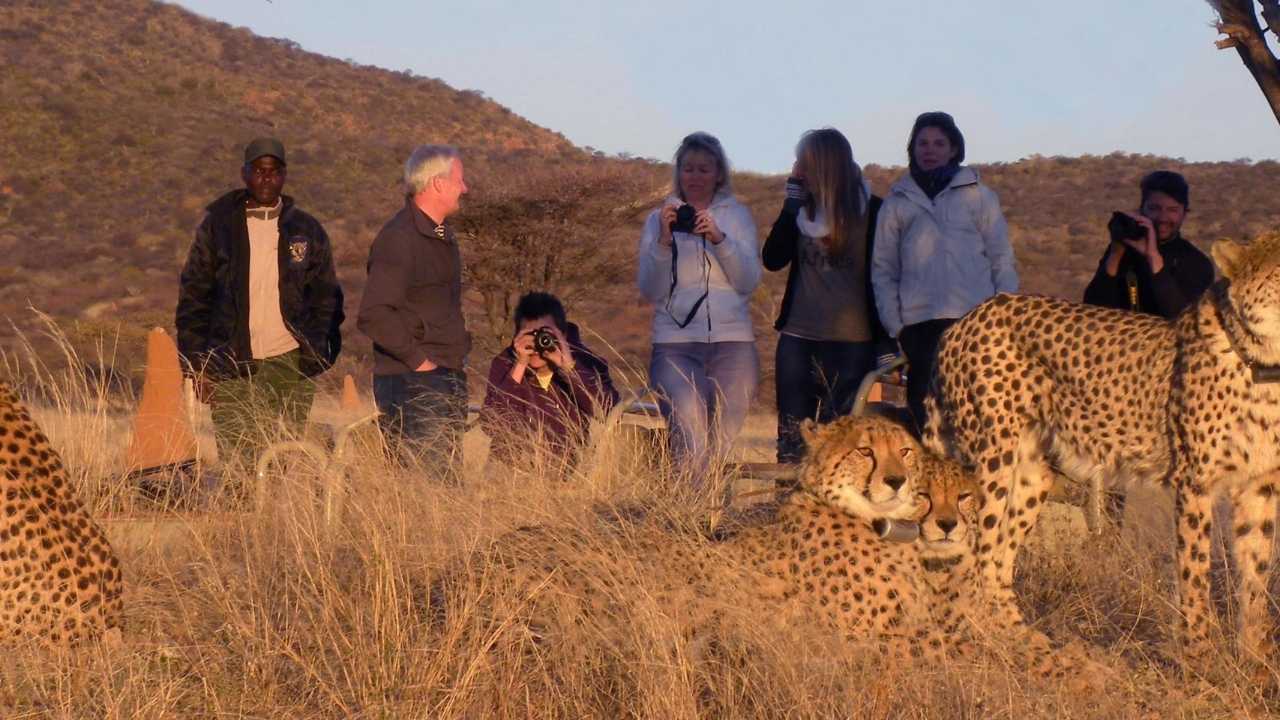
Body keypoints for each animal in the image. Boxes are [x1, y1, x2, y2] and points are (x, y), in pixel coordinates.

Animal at [922, 231, 1280, 671]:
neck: (1264, 360)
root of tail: (965, 319)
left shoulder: (1260, 484)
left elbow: (1257, 569)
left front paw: (1256, 659)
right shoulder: (1195, 482)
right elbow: (1195, 569)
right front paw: (1200, 657)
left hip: (1031, 473)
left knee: (995, 559)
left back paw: (1024, 643)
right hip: (989, 463)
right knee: (972, 553)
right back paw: (986, 642)